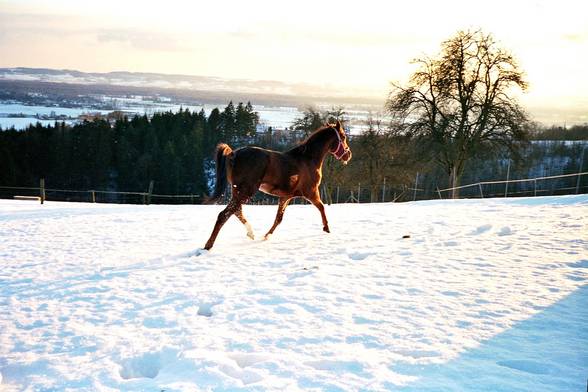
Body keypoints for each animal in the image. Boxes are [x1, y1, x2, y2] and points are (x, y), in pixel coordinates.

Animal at [203, 121, 350, 251]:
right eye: (343, 137)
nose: (348, 155)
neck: (308, 159)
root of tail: (234, 154)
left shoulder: (286, 197)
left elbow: (278, 218)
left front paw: (266, 236)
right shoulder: (311, 192)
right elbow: (322, 207)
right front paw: (327, 229)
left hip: (238, 191)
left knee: (237, 211)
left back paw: (251, 234)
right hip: (246, 191)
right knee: (224, 215)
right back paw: (208, 245)